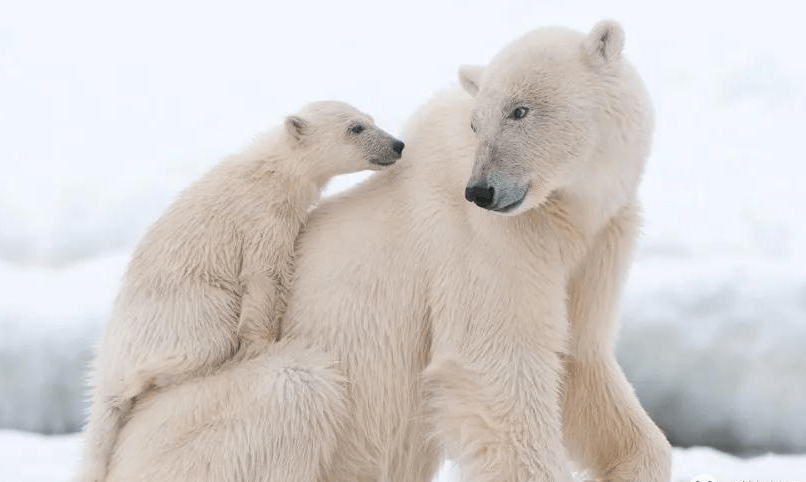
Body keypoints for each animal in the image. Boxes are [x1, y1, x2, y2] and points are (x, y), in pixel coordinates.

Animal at [104, 20, 672, 482]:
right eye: (477, 122)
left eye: (520, 110)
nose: (482, 191)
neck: (563, 212)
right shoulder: (482, 241)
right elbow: (494, 369)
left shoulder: (597, 242)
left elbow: (582, 360)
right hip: (201, 422)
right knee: (297, 388)